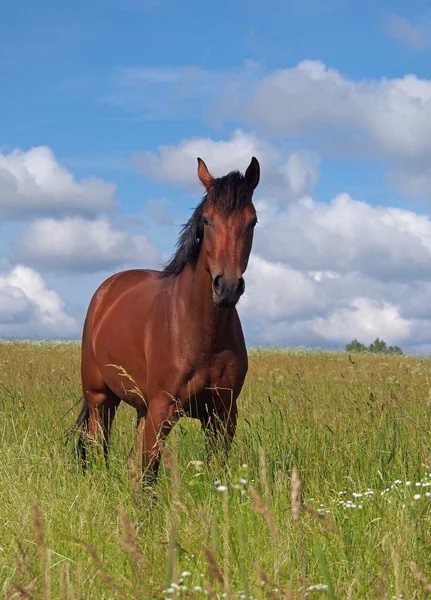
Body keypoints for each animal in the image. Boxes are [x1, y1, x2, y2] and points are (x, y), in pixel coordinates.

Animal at [75, 156, 260, 488]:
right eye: (207, 220)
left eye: (252, 222)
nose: (227, 288)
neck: (201, 331)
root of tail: (106, 291)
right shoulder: (162, 410)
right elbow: (150, 476)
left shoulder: (223, 414)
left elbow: (215, 473)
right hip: (100, 399)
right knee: (99, 448)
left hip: (141, 409)